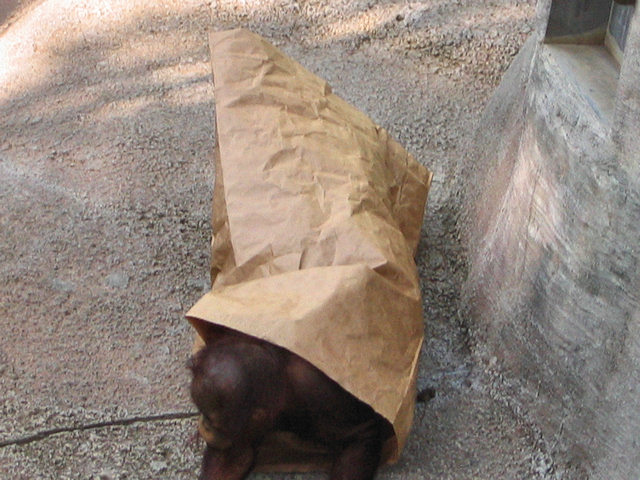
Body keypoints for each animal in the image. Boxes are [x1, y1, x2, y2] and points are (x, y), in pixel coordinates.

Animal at [188, 328, 390, 480]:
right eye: (202, 412)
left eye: (212, 421)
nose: (204, 425)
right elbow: (234, 457)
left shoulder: (324, 397)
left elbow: (362, 433)